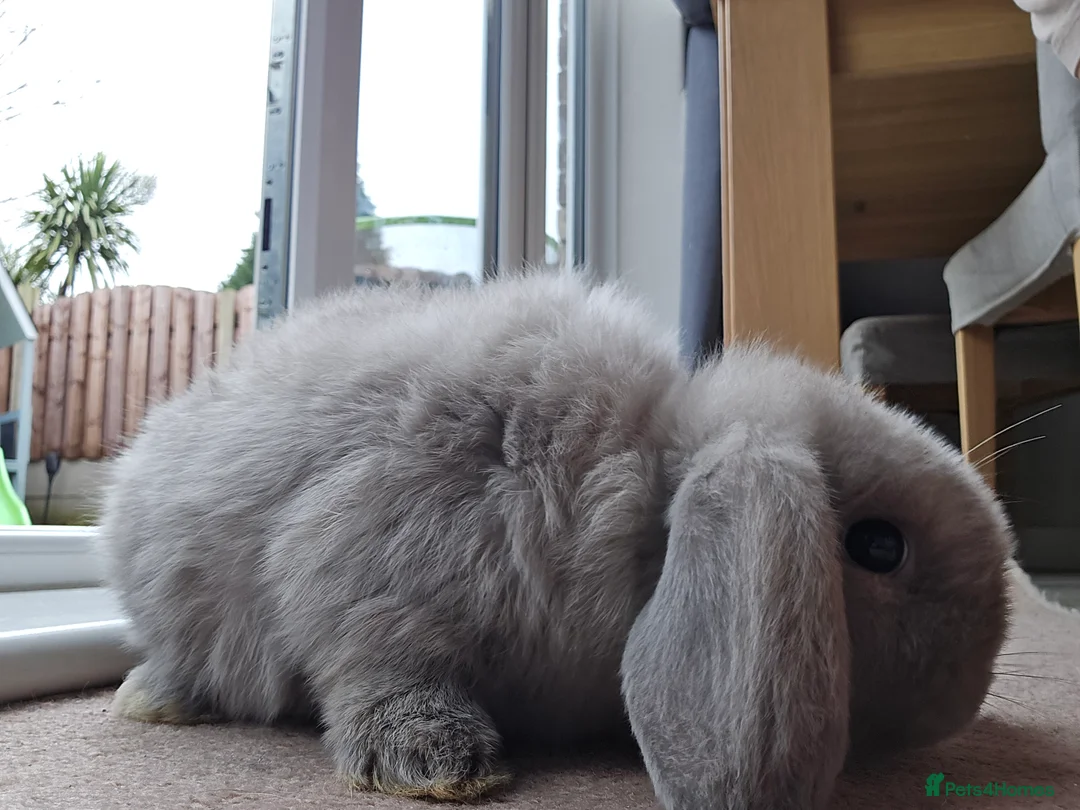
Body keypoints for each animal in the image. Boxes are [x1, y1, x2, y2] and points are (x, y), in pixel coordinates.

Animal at [99, 268, 1015, 810]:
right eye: (879, 548)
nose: (967, 699)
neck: (644, 485)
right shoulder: (372, 567)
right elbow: (377, 668)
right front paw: (442, 765)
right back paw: (156, 699)